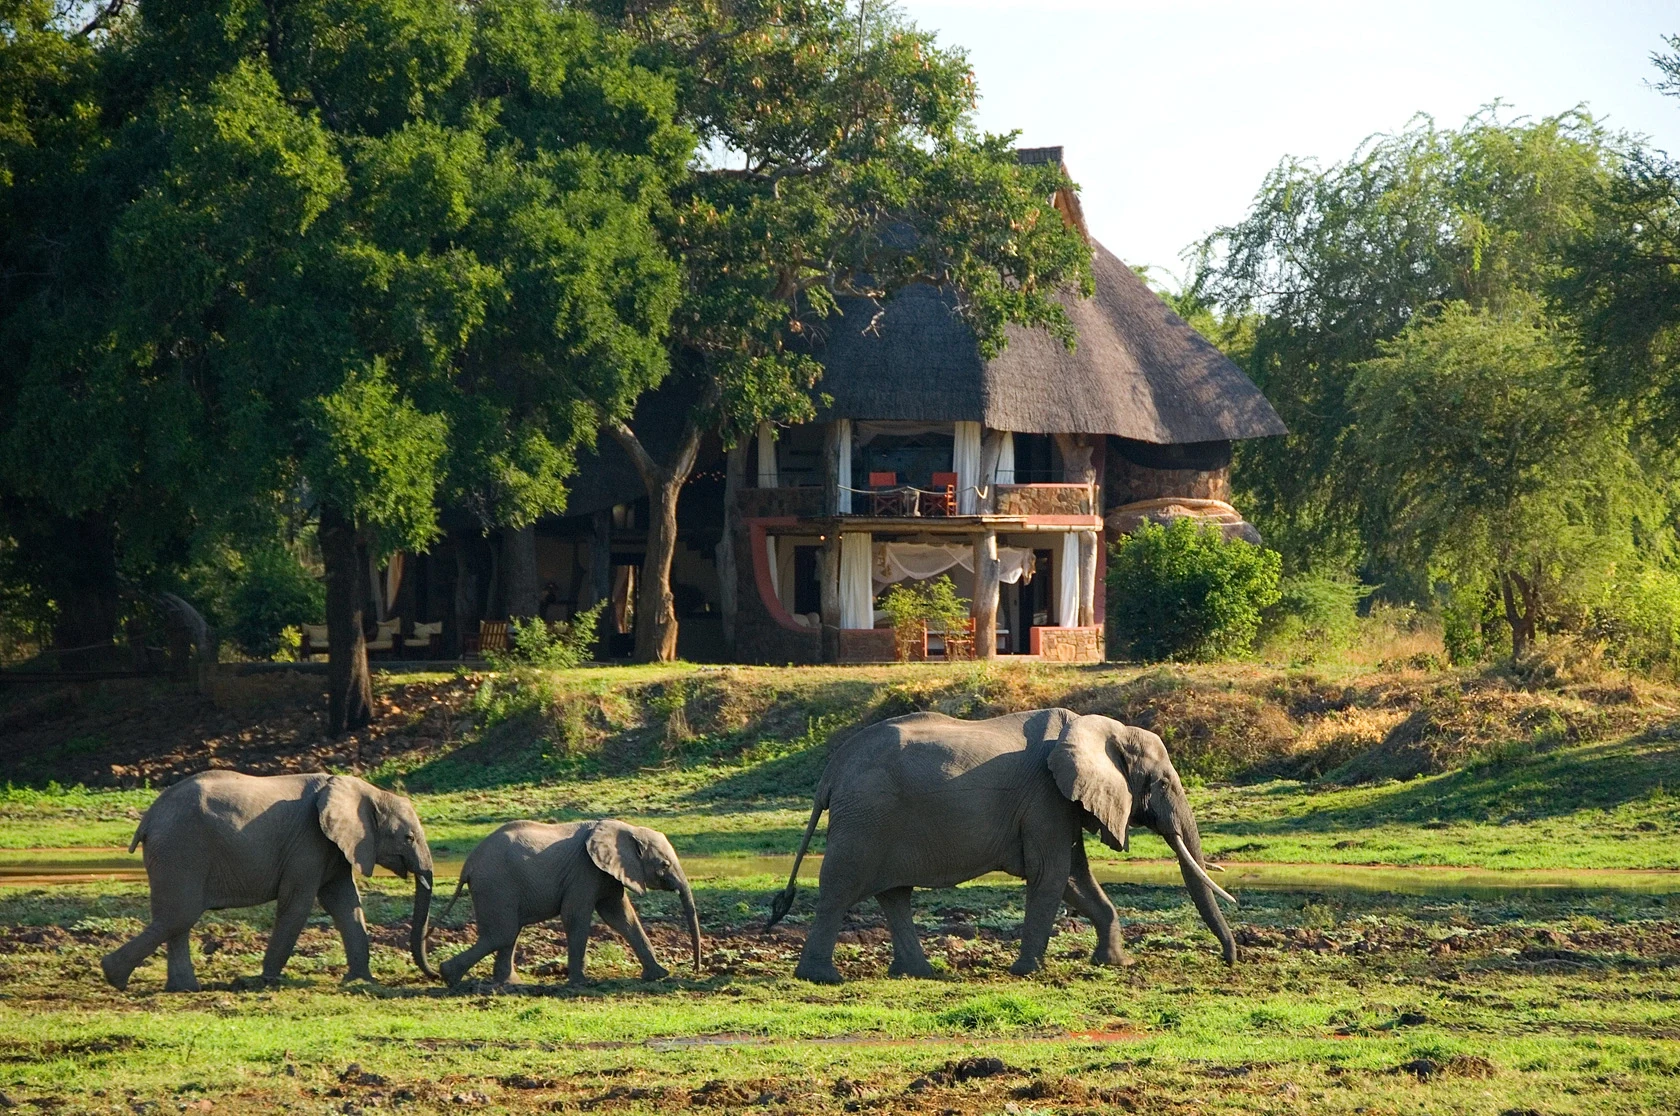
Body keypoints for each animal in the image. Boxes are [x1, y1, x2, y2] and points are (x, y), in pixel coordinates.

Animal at [101, 771, 437, 993]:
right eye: (408, 838)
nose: (434, 974)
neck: (366, 790)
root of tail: (148, 819)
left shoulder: (334, 848)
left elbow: (345, 905)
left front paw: (360, 981)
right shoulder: (308, 842)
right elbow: (297, 904)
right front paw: (268, 980)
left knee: (177, 918)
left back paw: (182, 988)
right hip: (181, 848)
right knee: (180, 914)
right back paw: (114, 976)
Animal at [435, 819, 702, 986]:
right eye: (664, 865)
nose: (696, 970)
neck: (628, 829)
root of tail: (468, 865)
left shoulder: (605, 874)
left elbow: (620, 916)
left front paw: (659, 976)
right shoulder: (584, 871)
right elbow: (576, 916)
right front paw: (580, 982)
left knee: (508, 933)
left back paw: (506, 983)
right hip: (495, 885)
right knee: (503, 933)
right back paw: (449, 976)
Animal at [765, 709, 1238, 984]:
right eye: (1162, 783)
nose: (1229, 961)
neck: (1100, 728)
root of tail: (831, 773)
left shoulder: (1059, 802)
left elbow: (1074, 876)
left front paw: (1114, 964)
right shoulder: (1046, 796)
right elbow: (1051, 874)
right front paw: (1028, 972)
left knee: (894, 894)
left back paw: (918, 974)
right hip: (865, 819)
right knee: (840, 888)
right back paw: (823, 978)